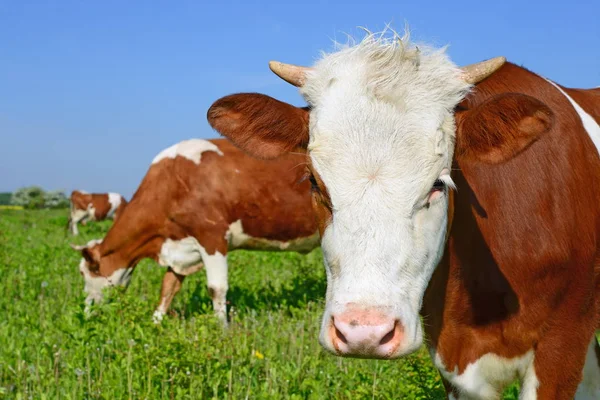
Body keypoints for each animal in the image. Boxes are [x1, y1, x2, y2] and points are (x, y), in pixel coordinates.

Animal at [70, 139, 318, 326]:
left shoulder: (212, 238)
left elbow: (217, 289)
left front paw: (222, 329)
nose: (86, 311)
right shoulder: (180, 246)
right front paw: (154, 323)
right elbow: (168, 287)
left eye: (84, 273)